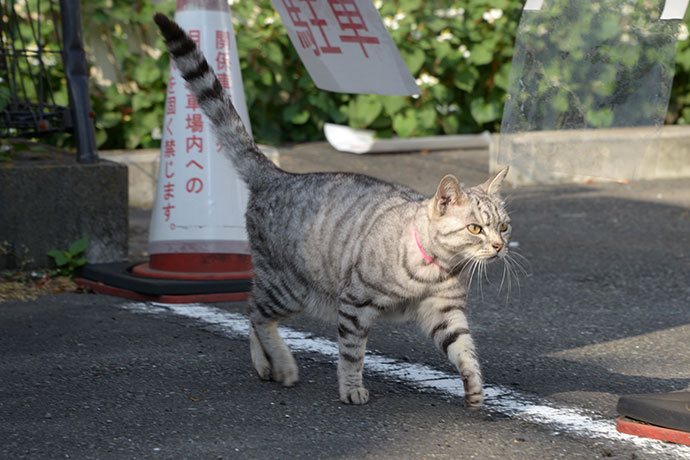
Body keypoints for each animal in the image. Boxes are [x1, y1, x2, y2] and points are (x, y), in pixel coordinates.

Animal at [155, 13, 510, 410]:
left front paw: (475, 390)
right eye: (476, 229)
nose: (499, 246)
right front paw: (352, 388)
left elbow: (464, 350)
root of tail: (277, 175)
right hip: (288, 286)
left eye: (503, 227)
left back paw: (266, 365)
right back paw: (282, 364)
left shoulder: (445, 312)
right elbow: (352, 353)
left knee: (252, 313)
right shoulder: (356, 304)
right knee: (255, 312)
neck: (434, 269)